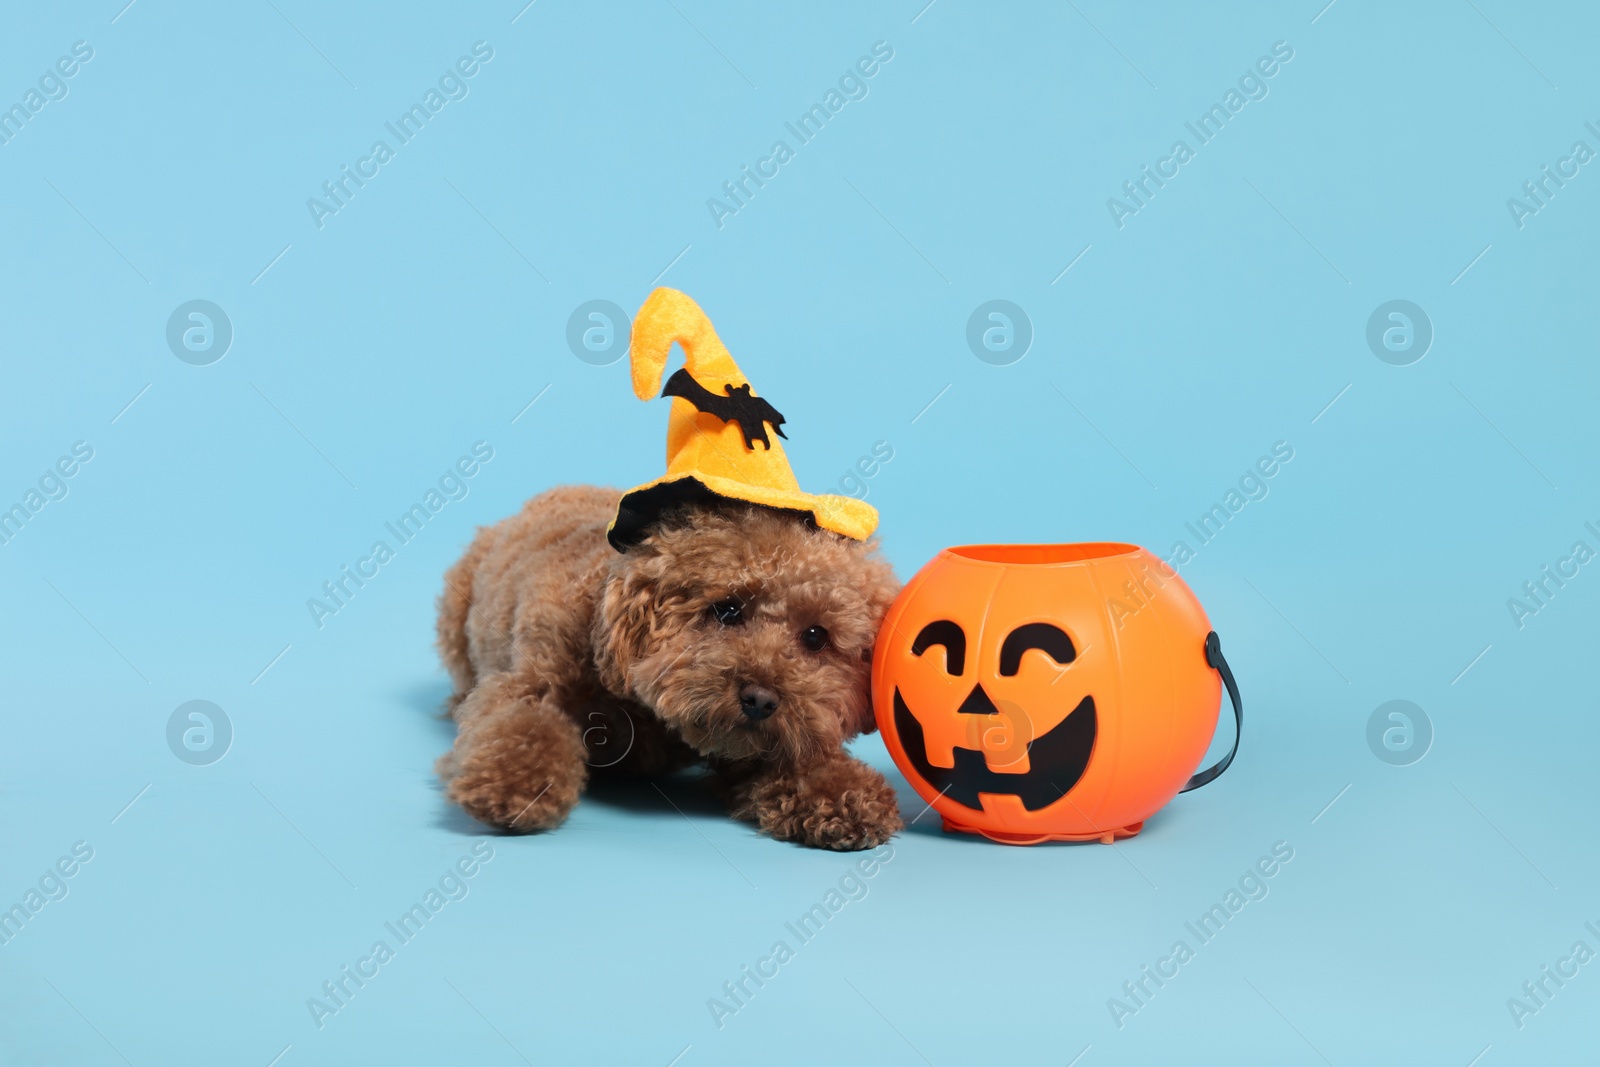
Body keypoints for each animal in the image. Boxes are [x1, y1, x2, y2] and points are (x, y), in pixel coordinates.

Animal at [432, 489, 908, 857]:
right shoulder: (532, 681)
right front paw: (514, 784)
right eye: (727, 609)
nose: (760, 698)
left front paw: (845, 795)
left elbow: (796, 763)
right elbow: (523, 725)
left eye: (815, 636)